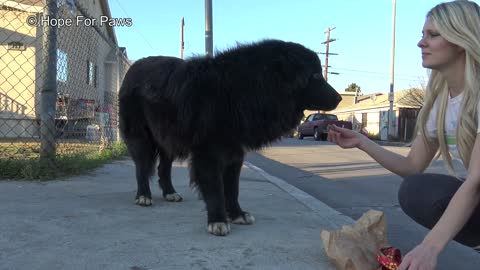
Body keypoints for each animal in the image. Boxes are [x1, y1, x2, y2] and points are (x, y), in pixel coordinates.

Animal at [118, 39, 342, 235]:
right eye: (315, 76)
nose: (339, 98)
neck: (242, 89)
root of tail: (133, 67)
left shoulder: (235, 152)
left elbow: (233, 188)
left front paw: (236, 214)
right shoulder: (208, 153)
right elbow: (216, 188)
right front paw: (218, 220)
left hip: (168, 138)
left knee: (163, 167)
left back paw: (170, 192)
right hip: (141, 136)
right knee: (142, 167)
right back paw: (143, 196)